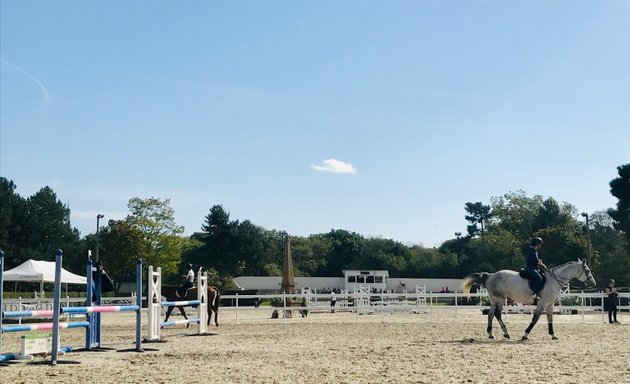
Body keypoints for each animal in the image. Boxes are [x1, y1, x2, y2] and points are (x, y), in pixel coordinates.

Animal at [464, 260, 596, 340]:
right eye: (588, 270)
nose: (593, 283)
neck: (553, 281)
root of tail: (490, 275)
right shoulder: (542, 304)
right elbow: (535, 319)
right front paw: (525, 335)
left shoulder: (550, 305)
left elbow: (550, 319)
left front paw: (553, 335)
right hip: (500, 299)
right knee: (497, 314)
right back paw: (506, 333)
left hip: (493, 300)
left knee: (490, 314)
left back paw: (491, 334)